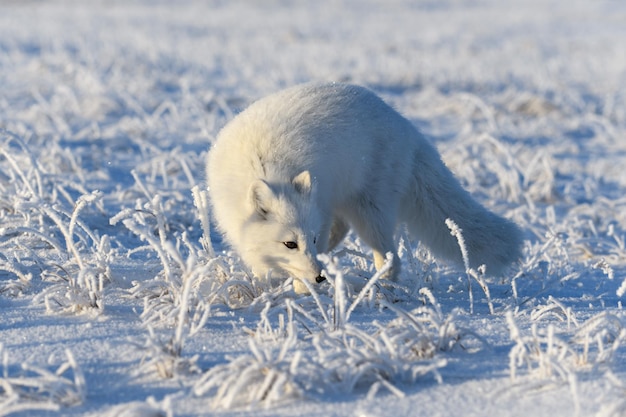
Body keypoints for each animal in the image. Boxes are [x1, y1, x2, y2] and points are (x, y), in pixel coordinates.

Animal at [206, 83, 520, 292]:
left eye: (311, 239)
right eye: (290, 244)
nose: (319, 277)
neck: (264, 166)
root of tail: (408, 128)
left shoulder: (319, 215)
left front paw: (302, 293)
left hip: (370, 212)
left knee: (391, 259)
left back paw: (377, 290)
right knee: (343, 229)